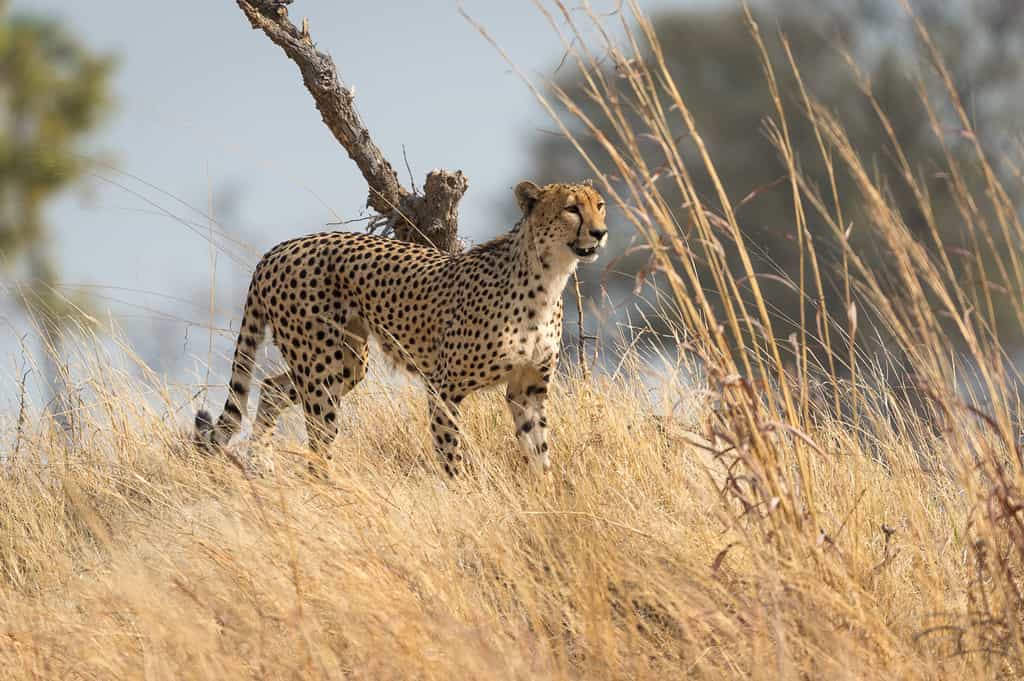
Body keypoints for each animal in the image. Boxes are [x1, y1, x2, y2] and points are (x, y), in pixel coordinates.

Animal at [193, 180, 608, 477]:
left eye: (599, 205)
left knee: (272, 387)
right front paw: (462, 497)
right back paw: (323, 488)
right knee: (318, 436)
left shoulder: (528, 389)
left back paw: (260, 461)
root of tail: (278, 250)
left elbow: (539, 451)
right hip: (322, 366)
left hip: (347, 362)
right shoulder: (443, 387)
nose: (601, 232)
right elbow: (450, 454)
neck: (547, 276)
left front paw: (547, 500)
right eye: (572, 208)